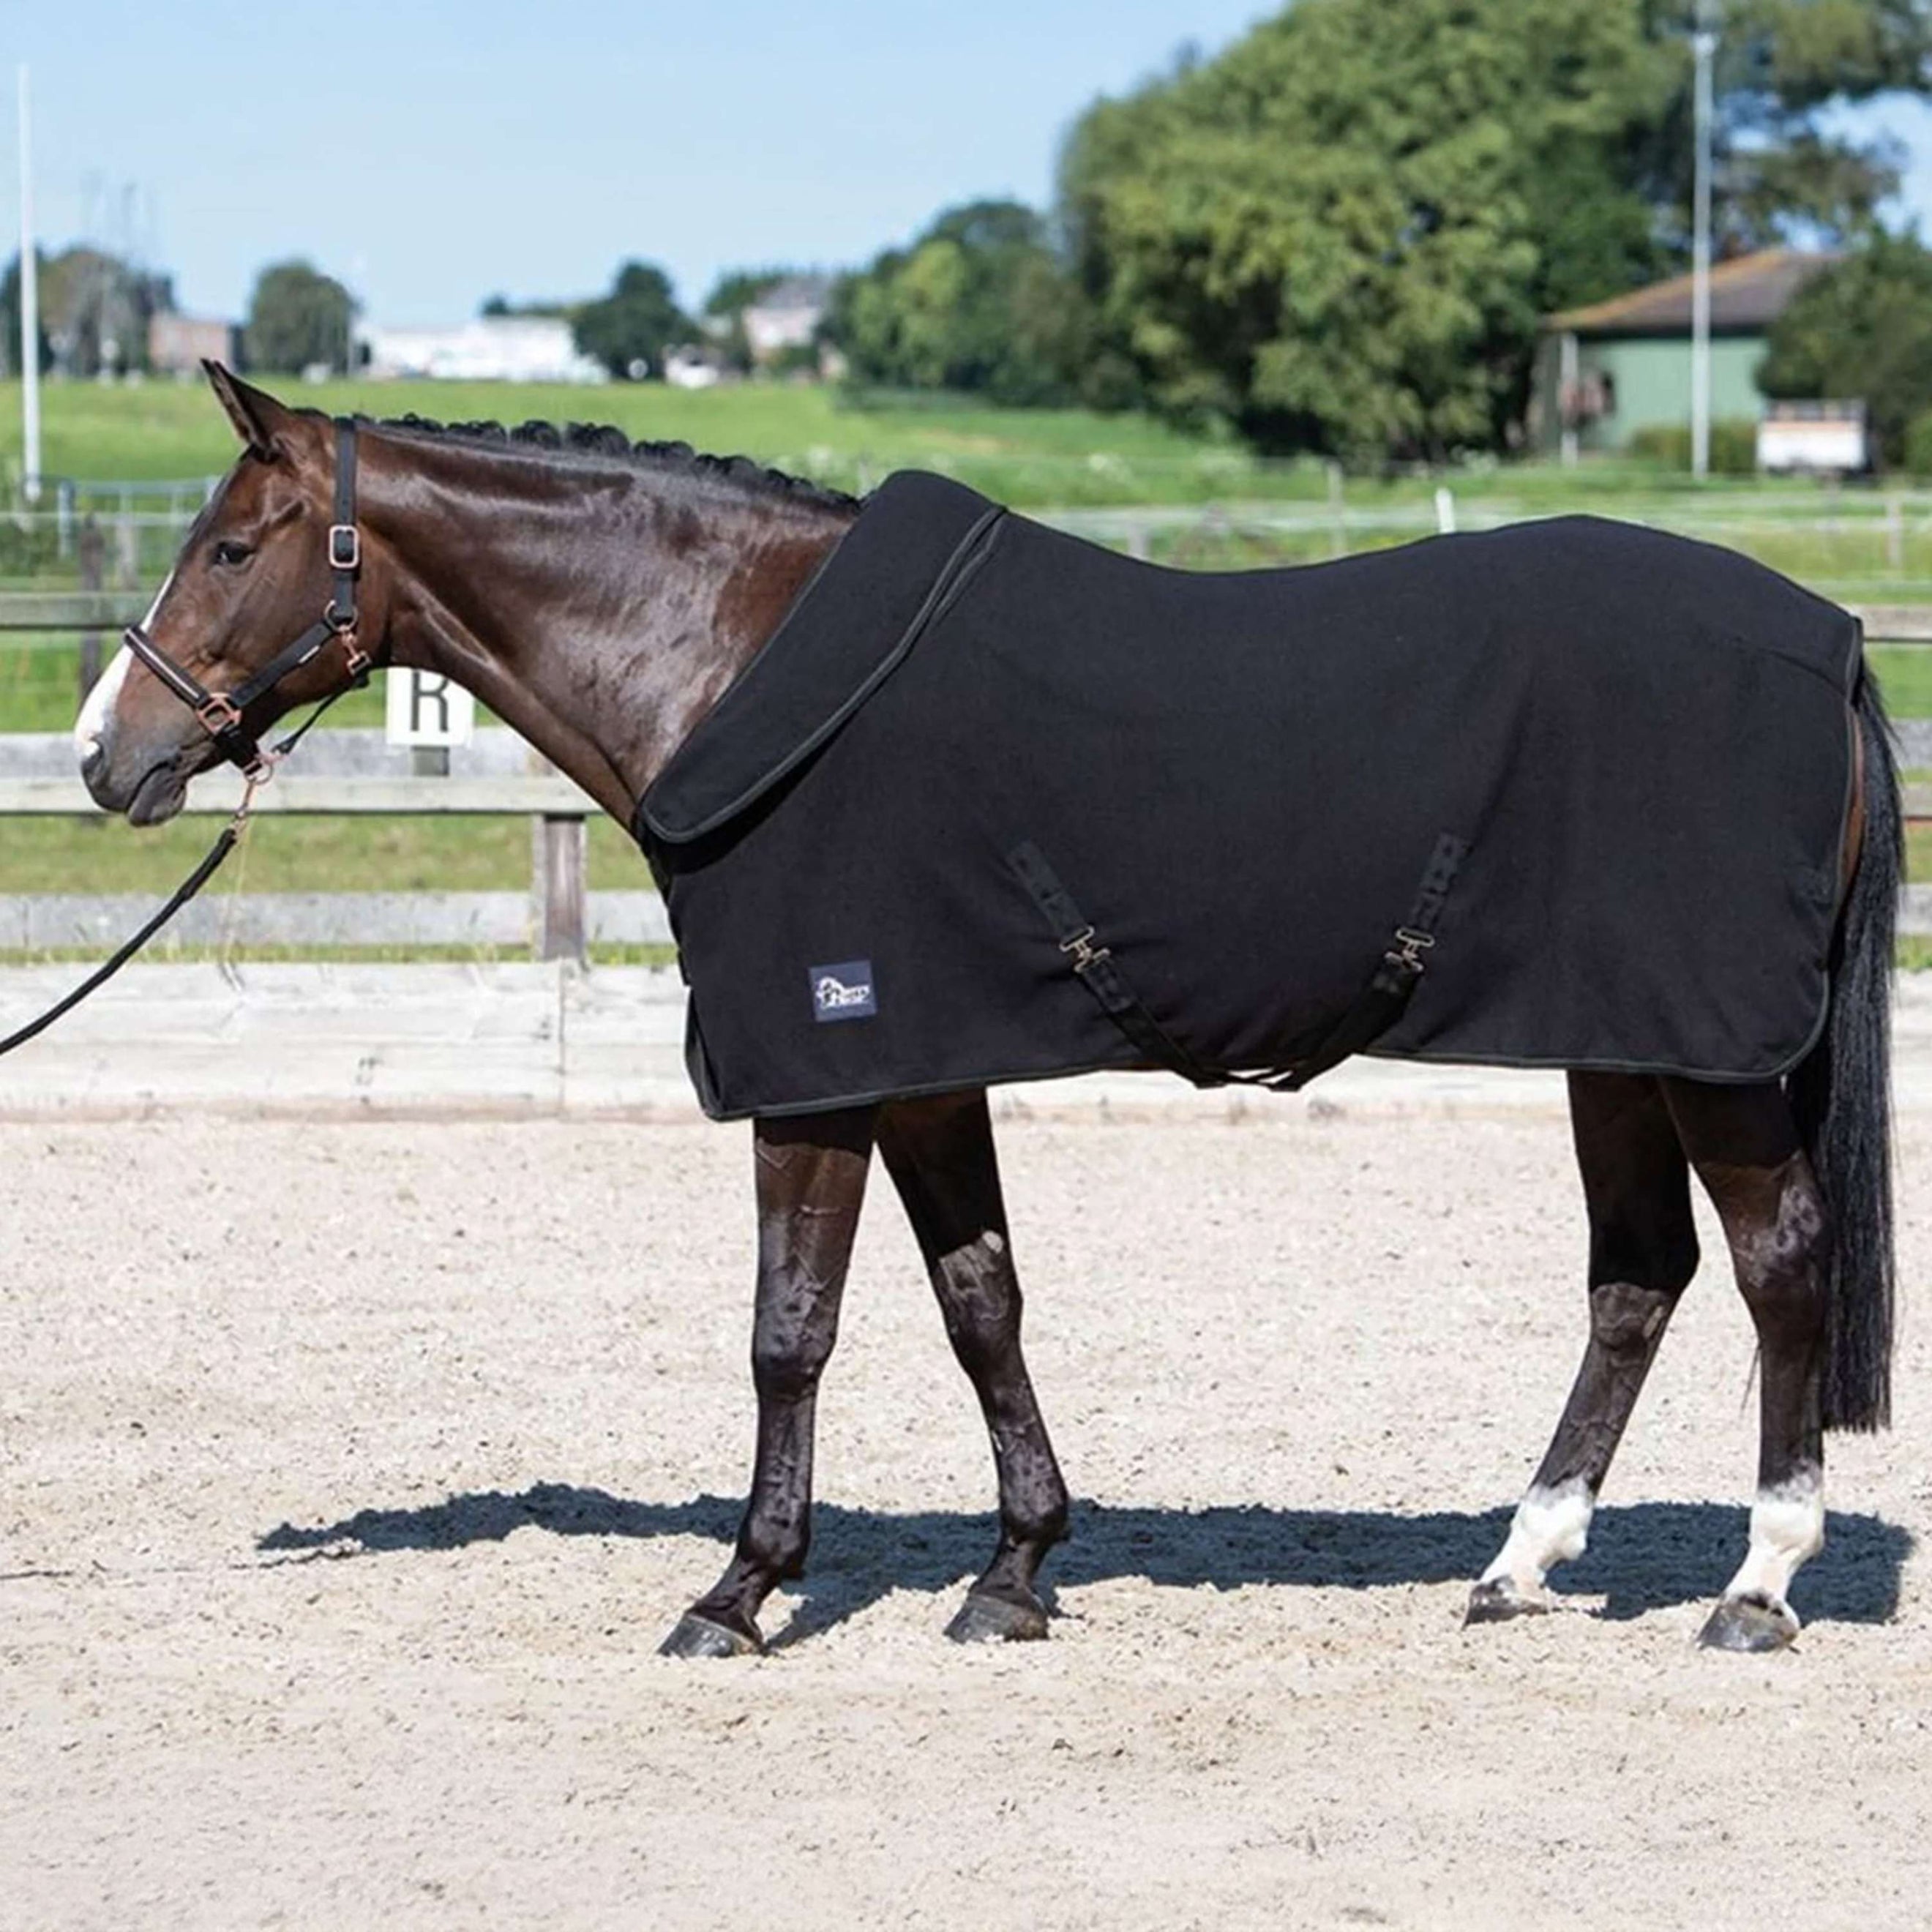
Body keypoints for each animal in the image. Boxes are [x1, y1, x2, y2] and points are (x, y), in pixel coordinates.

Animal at [75, 366, 1899, 1658]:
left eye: (230, 546)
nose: (106, 754)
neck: (734, 659)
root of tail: (1829, 641)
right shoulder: (924, 1068)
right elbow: (981, 1305)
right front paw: (1015, 1569)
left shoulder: (819, 1075)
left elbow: (789, 1331)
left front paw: (741, 1590)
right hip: (1623, 1043)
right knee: (1639, 1279)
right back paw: (1521, 1562)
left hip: (1707, 1060)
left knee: (1778, 1261)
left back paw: (1759, 1582)